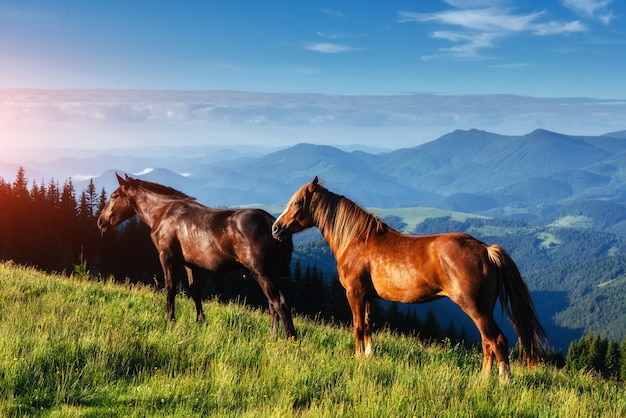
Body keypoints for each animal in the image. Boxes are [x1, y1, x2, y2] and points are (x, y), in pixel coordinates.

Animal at [95, 173, 294, 340]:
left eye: (114, 196)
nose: (100, 222)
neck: (162, 212)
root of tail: (274, 225)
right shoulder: (189, 263)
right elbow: (195, 290)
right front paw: (201, 320)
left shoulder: (167, 257)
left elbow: (170, 288)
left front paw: (169, 319)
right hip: (267, 275)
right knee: (272, 305)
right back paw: (272, 336)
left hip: (262, 274)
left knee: (280, 303)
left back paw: (289, 339)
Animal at [270, 176, 544, 378]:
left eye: (298, 203)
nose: (275, 228)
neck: (356, 240)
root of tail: (487, 250)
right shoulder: (369, 296)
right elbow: (368, 325)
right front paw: (368, 356)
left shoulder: (354, 293)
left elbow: (357, 326)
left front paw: (357, 357)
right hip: (482, 310)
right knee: (488, 343)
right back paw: (483, 379)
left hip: (475, 308)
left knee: (496, 340)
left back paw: (502, 381)